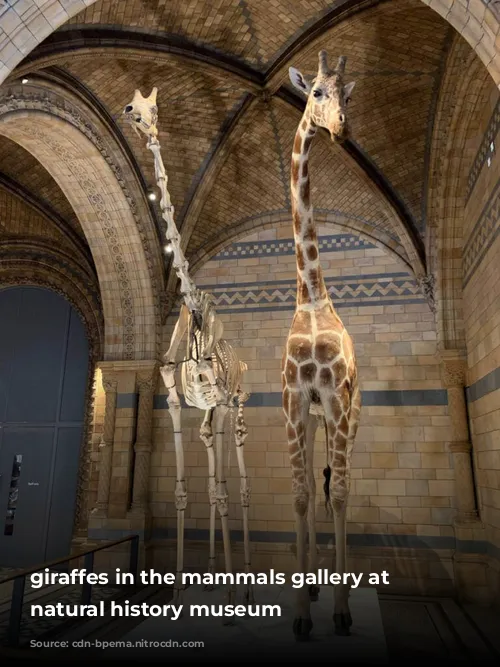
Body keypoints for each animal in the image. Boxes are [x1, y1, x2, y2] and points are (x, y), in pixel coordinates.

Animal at [121, 87, 254, 612]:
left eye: (153, 107)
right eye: (133, 105)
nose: (136, 119)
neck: (193, 307)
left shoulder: (219, 396)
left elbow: (223, 490)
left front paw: (232, 599)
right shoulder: (177, 396)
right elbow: (184, 491)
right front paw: (179, 587)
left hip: (234, 403)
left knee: (235, 478)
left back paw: (241, 576)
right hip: (208, 411)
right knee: (211, 457)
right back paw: (219, 571)